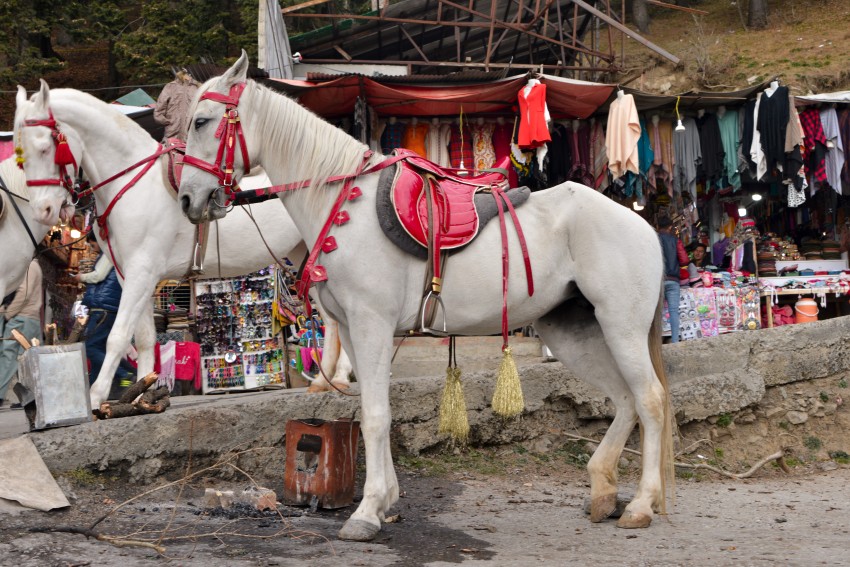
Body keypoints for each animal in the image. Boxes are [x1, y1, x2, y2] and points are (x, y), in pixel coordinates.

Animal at [14, 82, 352, 407]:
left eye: (45, 148)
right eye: (20, 155)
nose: (43, 211)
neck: (132, 182)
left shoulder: (141, 272)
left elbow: (118, 336)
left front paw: (96, 397)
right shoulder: (131, 275)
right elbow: (144, 338)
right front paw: (140, 395)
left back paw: (340, 376)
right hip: (304, 256)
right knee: (332, 318)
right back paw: (327, 379)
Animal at [175, 52, 674, 542]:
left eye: (201, 121)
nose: (186, 200)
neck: (344, 201)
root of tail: (641, 225)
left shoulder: (372, 324)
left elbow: (376, 416)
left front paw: (367, 511)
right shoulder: (354, 331)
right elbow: (373, 410)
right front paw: (385, 501)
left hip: (620, 326)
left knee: (649, 398)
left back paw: (642, 504)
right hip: (573, 330)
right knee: (624, 398)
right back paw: (604, 491)